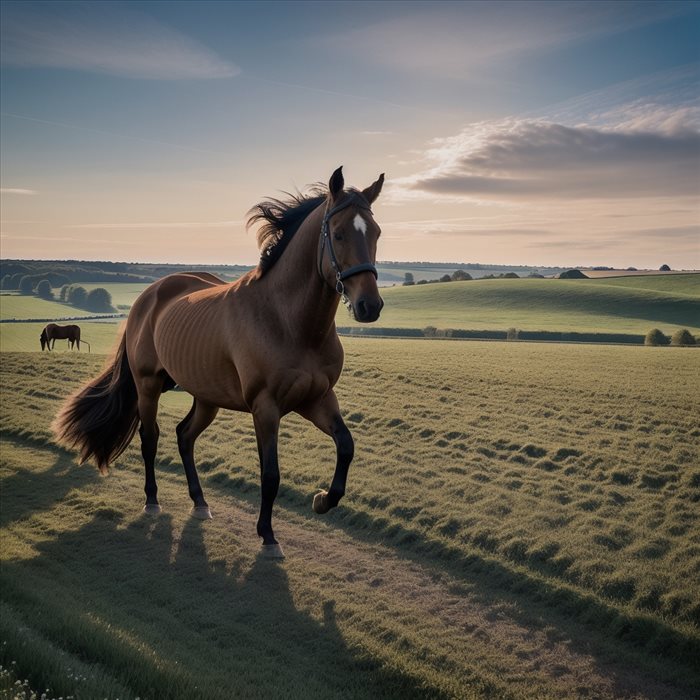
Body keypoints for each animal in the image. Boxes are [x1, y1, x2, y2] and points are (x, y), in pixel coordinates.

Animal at [52, 167, 386, 560]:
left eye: (376, 232)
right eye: (338, 233)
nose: (369, 306)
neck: (288, 321)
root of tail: (149, 296)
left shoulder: (317, 399)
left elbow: (346, 446)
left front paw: (322, 500)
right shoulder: (265, 408)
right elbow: (270, 474)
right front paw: (268, 536)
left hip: (206, 398)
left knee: (184, 435)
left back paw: (200, 502)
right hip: (148, 386)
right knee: (150, 437)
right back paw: (152, 501)